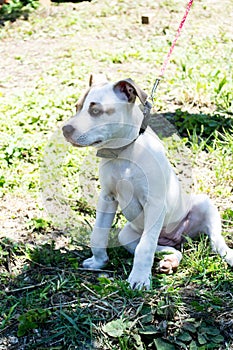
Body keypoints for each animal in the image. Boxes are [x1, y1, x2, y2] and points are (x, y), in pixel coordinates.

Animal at [62, 74, 233, 290]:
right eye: (77, 107)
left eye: (95, 111)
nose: (65, 129)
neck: (123, 153)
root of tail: (177, 237)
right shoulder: (107, 198)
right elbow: (98, 234)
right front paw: (99, 261)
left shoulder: (154, 203)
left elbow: (145, 247)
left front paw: (139, 279)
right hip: (127, 235)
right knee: (168, 249)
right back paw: (170, 261)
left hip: (205, 205)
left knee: (215, 241)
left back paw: (227, 255)